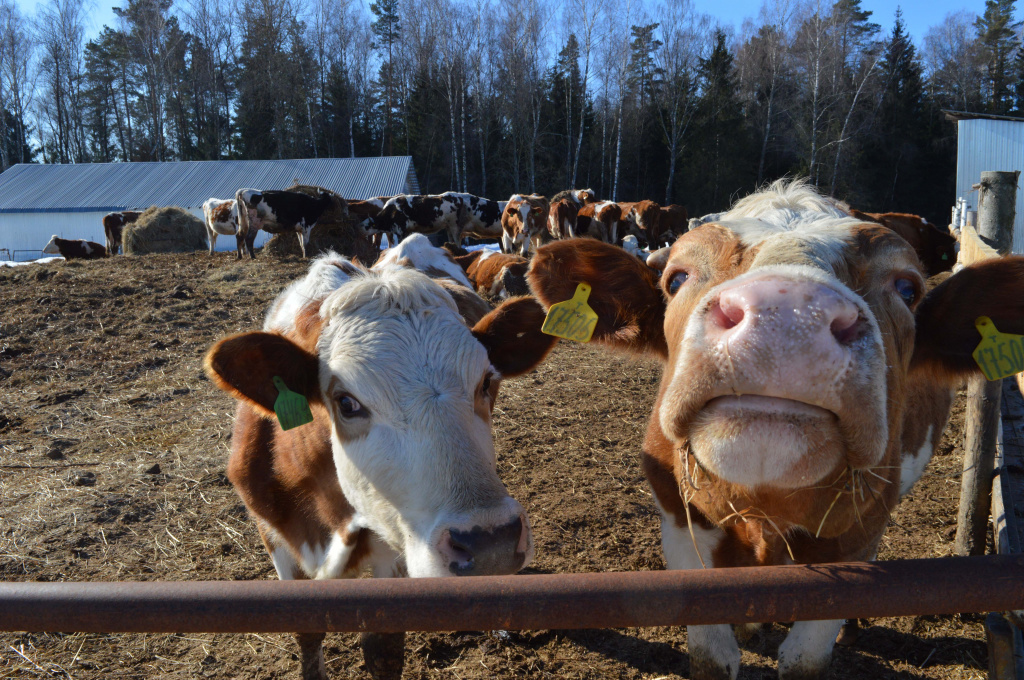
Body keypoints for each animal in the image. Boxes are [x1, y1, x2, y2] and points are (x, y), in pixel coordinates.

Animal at [204, 251, 557, 680]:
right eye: (347, 403)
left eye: (486, 382)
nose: (493, 544)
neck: (328, 521)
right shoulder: (274, 535)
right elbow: (306, 631)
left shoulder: (393, 545)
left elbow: (383, 648)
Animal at [524, 179, 1024, 680]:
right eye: (677, 278)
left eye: (907, 288)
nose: (787, 311)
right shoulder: (681, 519)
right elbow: (712, 655)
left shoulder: (860, 534)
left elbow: (805, 659)